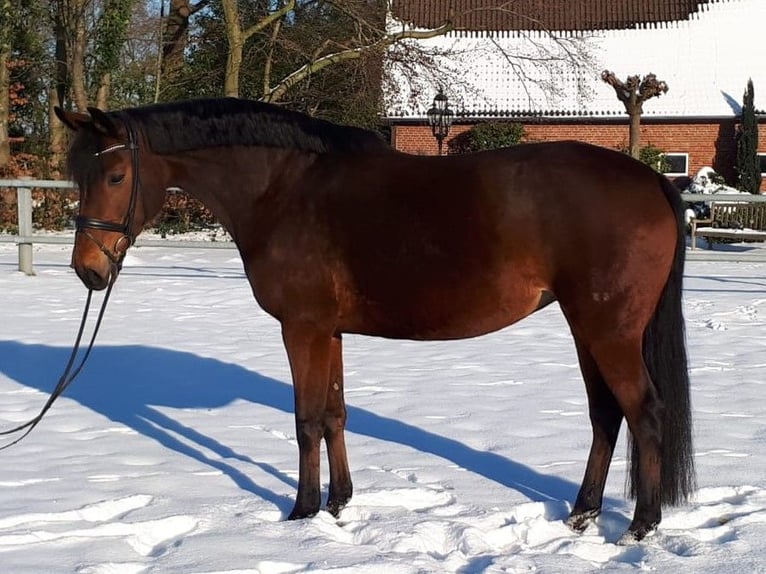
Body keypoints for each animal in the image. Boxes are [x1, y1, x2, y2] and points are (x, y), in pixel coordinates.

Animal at [55, 99, 696, 544]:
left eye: (115, 176)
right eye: (76, 175)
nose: (89, 269)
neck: (283, 188)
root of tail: (650, 180)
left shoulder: (302, 328)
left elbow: (306, 419)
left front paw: (302, 512)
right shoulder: (330, 331)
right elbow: (335, 415)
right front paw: (340, 504)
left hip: (609, 331)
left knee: (643, 411)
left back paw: (640, 525)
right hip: (586, 328)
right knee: (605, 415)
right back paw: (582, 515)